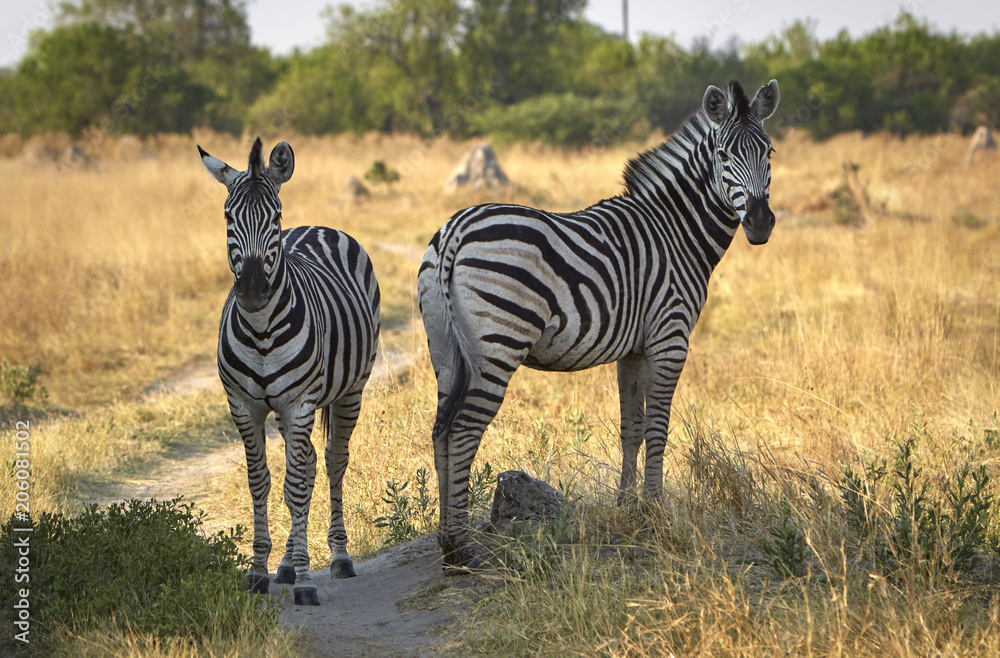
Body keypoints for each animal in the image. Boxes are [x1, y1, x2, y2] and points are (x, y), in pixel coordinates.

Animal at [198, 138, 380, 605]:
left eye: (275, 218)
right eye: (227, 217)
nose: (252, 291)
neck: (262, 330)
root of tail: (316, 226)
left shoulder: (300, 403)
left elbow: (295, 485)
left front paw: (305, 582)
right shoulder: (244, 406)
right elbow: (262, 481)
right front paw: (259, 571)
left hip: (350, 391)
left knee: (332, 461)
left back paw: (338, 558)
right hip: (285, 411)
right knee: (309, 464)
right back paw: (285, 563)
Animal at [418, 79, 780, 570]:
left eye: (769, 152)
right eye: (724, 155)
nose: (760, 224)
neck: (677, 231)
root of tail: (456, 229)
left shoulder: (634, 349)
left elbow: (631, 429)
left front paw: (627, 508)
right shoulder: (670, 338)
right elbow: (657, 428)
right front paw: (655, 510)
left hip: (445, 348)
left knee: (440, 429)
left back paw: (444, 540)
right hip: (497, 345)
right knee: (463, 429)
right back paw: (461, 548)